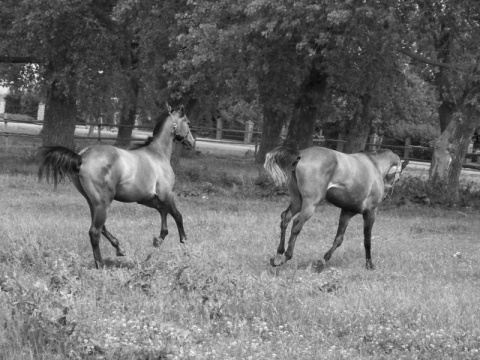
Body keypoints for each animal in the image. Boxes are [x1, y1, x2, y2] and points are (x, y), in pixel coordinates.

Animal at [37, 104, 195, 268]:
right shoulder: (166, 194)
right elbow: (178, 216)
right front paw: (185, 244)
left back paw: (119, 248)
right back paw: (100, 265)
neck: (157, 154)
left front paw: (158, 241)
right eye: (188, 123)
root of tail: (82, 157)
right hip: (103, 203)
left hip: (93, 202)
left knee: (101, 227)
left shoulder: (147, 198)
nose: (192, 142)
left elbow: (163, 212)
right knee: (94, 231)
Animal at [264, 146, 406, 270]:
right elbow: (367, 240)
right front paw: (369, 265)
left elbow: (338, 239)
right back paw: (286, 256)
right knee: (296, 224)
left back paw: (278, 254)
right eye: (398, 177)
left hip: (297, 201)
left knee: (285, 218)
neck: (375, 165)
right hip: (310, 204)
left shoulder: (346, 213)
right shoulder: (370, 213)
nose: (386, 196)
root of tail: (301, 154)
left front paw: (321, 261)